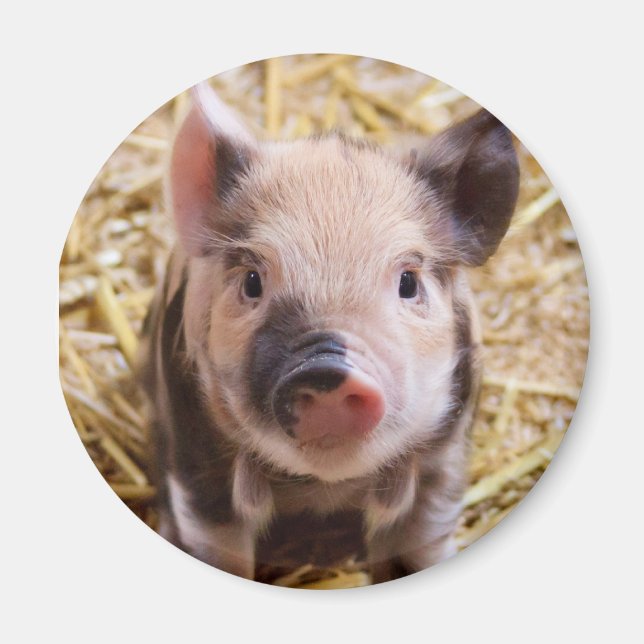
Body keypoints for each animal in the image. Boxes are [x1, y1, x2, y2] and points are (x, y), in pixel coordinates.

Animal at [138, 82, 519, 583]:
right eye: (252, 281)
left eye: (408, 282)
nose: (326, 368)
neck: (324, 488)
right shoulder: (197, 455)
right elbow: (220, 547)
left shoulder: (445, 456)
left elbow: (418, 545)